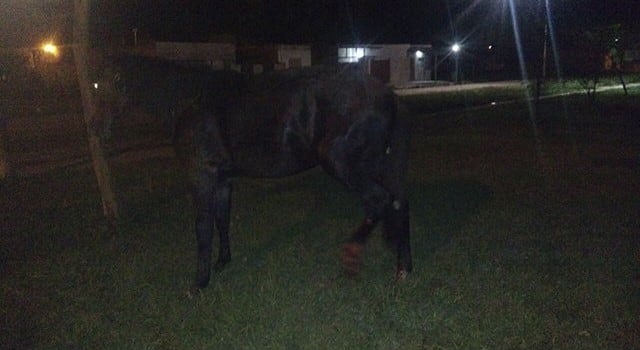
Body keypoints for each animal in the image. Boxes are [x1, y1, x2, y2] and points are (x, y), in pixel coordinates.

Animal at [94, 56, 416, 292]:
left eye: (100, 85)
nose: (97, 130)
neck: (190, 101)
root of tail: (386, 93)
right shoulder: (223, 179)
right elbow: (222, 220)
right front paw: (223, 262)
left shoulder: (202, 178)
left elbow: (203, 229)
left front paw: (199, 283)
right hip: (379, 164)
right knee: (398, 202)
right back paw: (403, 268)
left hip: (342, 163)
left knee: (379, 200)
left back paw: (353, 254)